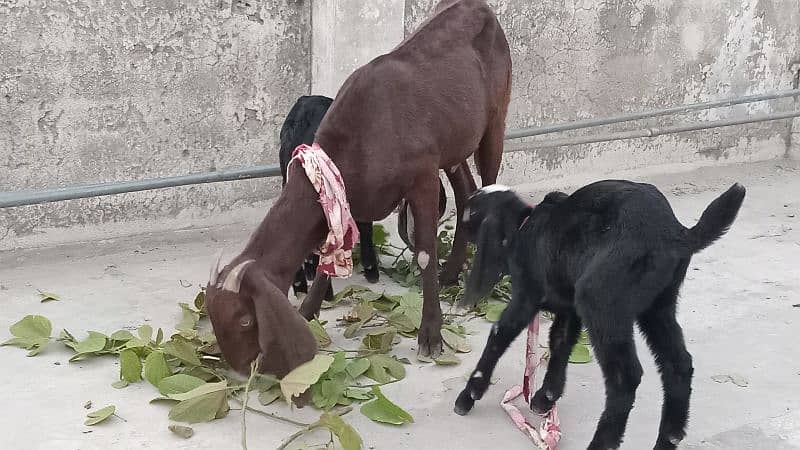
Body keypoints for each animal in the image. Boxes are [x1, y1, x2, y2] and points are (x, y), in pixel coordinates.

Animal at [454, 181, 748, 448]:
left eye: (468, 215)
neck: (523, 224)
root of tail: (676, 235)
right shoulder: (569, 307)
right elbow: (560, 342)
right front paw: (545, 397)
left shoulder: (527, 296)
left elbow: (499, 335)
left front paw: (469, 395)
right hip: (658, 306)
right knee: (678, 365)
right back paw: (668, 438)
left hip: (600, 302)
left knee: (626, 377)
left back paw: (602, 443)